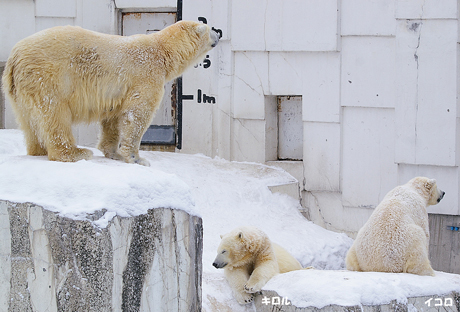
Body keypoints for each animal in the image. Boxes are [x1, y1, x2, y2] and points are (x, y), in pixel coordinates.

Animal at [2, 20, 219, 166]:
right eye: (209, 28)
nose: (219, 34)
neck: (161, 52)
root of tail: (14, 57)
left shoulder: (118, 91)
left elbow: (114, 117)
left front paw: (113, 152)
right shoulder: (146, 75)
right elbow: (137, 114)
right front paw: (136, 158)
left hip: (20, 89)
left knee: (29, 121)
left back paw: (38, 150)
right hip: (49, 77)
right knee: (55, 115)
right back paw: (75, 153)